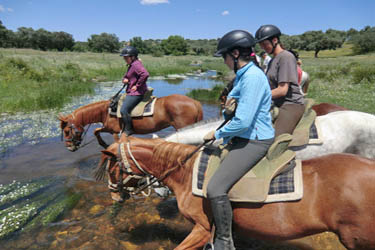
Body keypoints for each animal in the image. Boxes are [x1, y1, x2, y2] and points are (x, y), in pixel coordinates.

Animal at [58, 94, 203, 151]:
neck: (106, 111)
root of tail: (195, 102)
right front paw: (103, 144)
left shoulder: (116, 132)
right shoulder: (109, 128)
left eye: (67, 131)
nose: (69, 147)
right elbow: (96, 130)